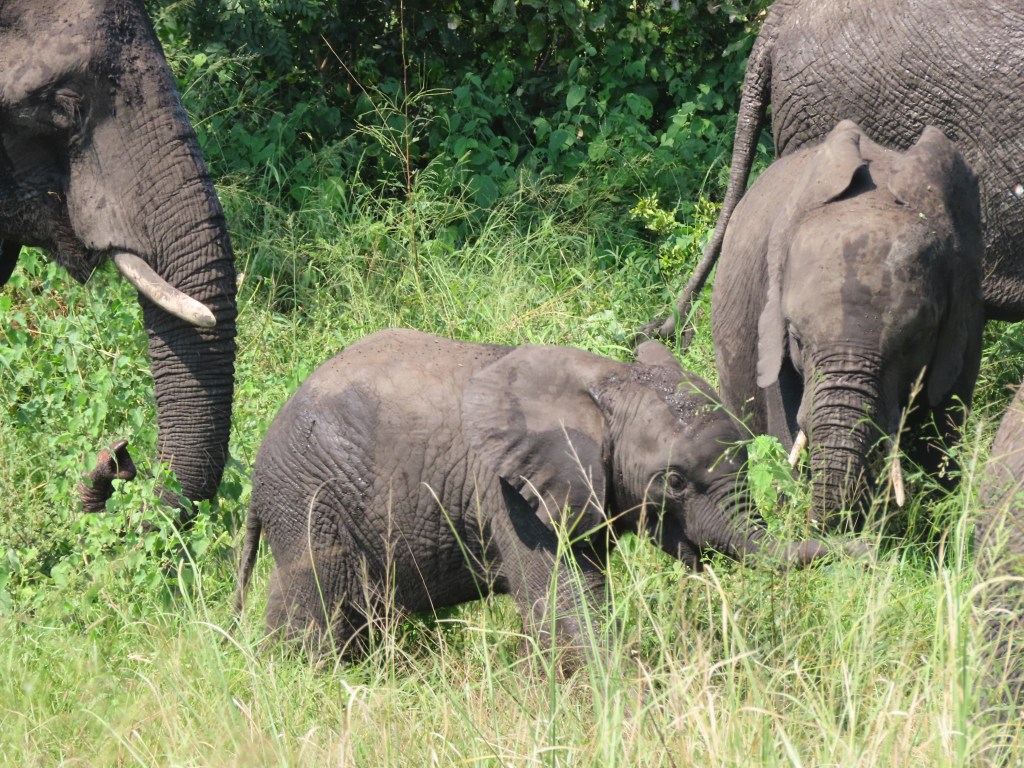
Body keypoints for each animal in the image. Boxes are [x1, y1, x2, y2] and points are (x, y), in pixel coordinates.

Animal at [235, 328, 848, 667]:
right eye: (673, 481)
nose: (859, 553)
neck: (612, 382)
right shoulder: (507, 489)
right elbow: (563, 599)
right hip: (309, 500)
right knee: (313, 611)